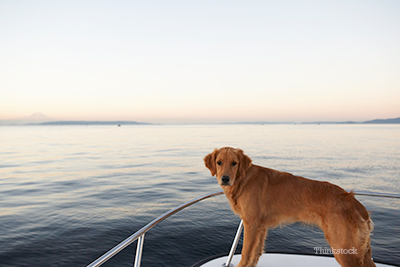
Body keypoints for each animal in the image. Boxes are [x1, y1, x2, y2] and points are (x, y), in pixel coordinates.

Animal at [205, 148, 376, 267]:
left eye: (234, 163)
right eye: (219, 162)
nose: (225, 179)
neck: (243, 179)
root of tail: (354, 202)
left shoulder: (251, 224)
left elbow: (246, 253)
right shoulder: (261, 227)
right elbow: (255, 254)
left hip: (344, 249)